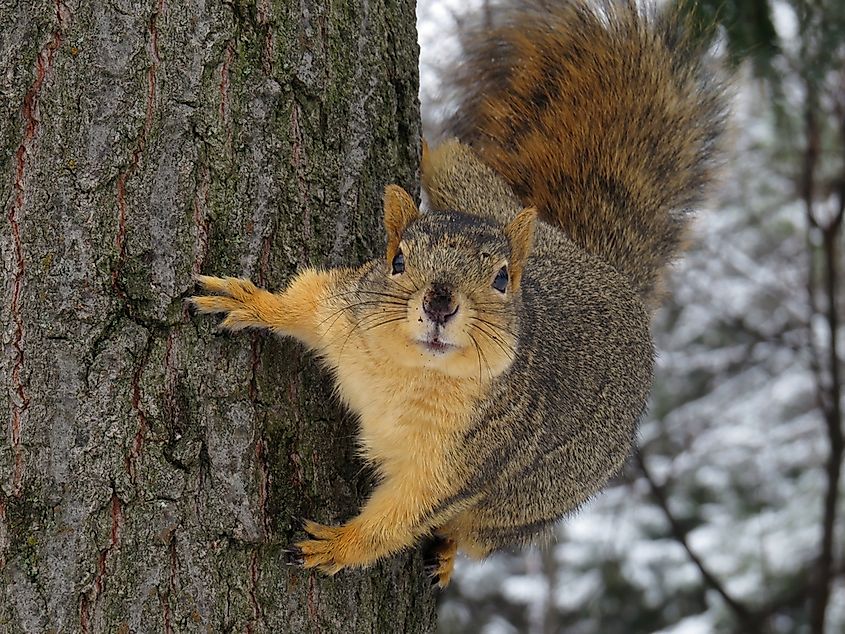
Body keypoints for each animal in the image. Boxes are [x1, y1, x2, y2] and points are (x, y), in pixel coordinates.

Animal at [190, 0, 725, 587]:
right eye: (397, 259)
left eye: (501, 279)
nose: (439, 303)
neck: (412, 370)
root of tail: (614, 279)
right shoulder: (346, 312)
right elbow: (304, 302)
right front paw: (251, 302)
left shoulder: (465, 465)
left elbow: (404, 515)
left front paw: (339, 546)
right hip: (478, 197)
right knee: (458, 165)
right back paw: (427, 144)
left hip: (520, 510)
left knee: (471, 535)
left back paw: (446, 556)